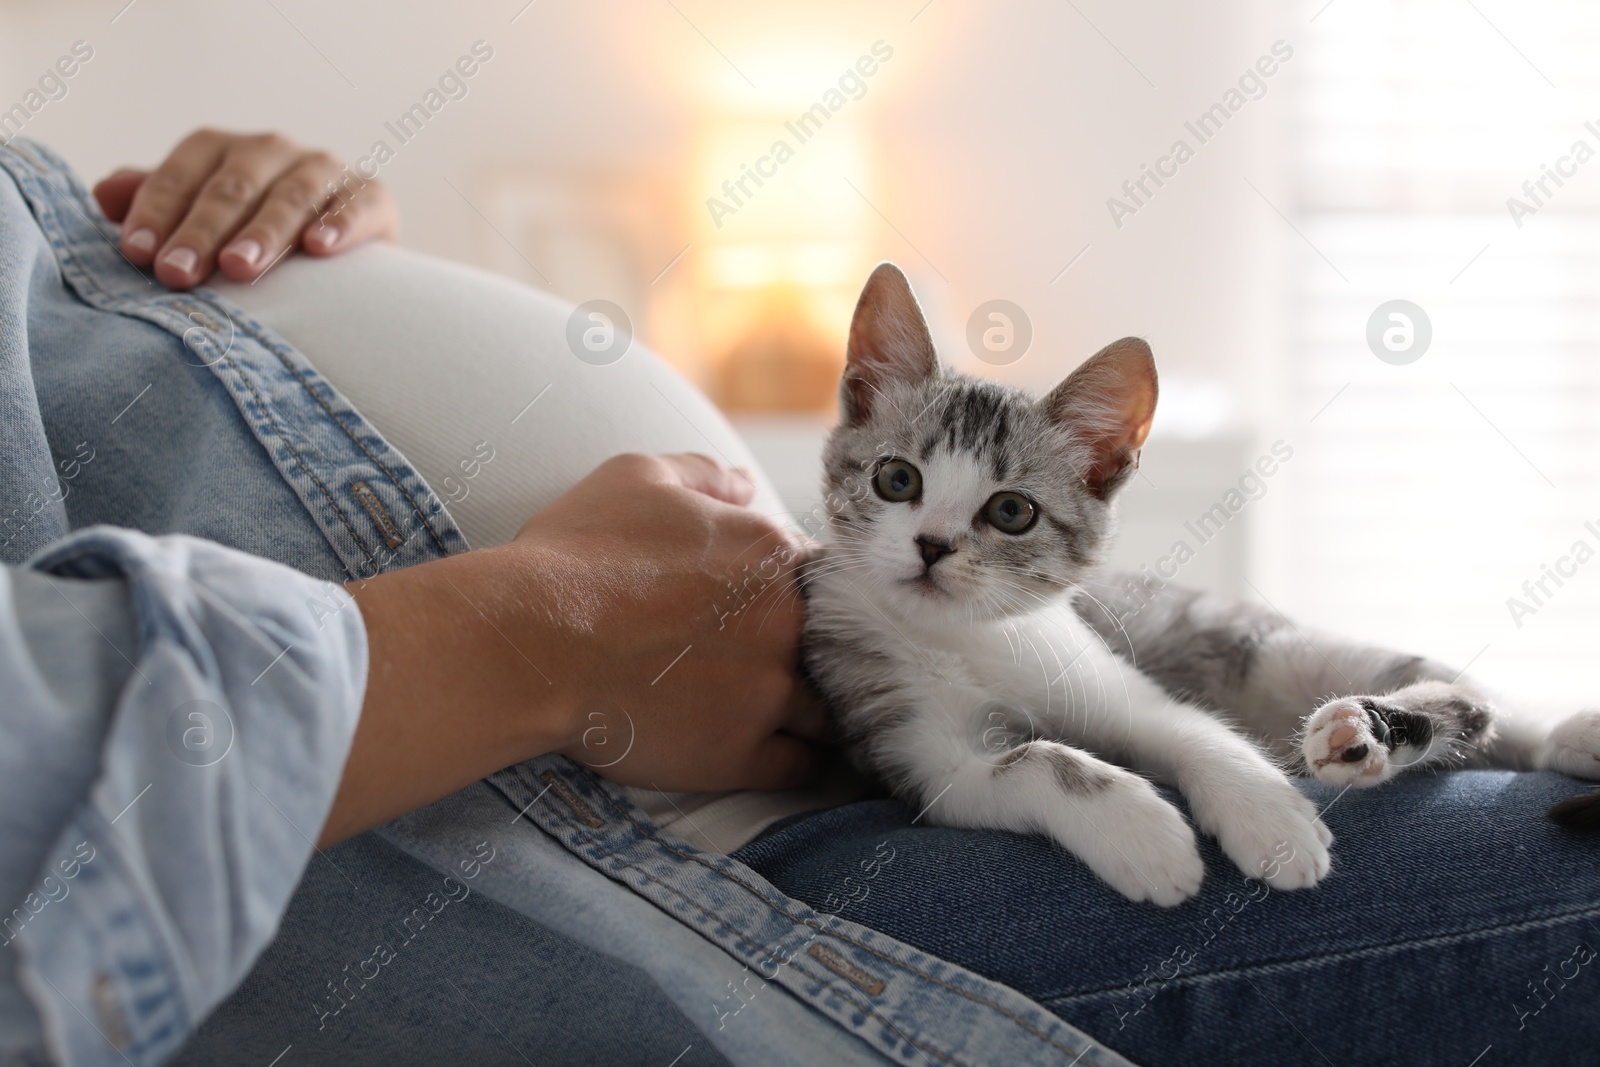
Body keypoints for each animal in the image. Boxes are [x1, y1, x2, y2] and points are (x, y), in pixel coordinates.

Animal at [806, 262, 1600, 908]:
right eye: (896, 478)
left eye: (1011, 512)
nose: (932, 545)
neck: (968, 638)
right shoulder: (921, 761)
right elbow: (1036, 760)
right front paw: (1143, 835)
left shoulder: (1126, 690)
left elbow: (1193, 728)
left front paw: (1267, 817)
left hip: (1271, 649)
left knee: (1474, 698)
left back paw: (1421, 729)